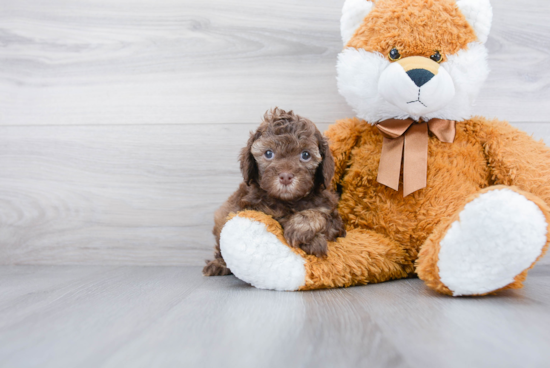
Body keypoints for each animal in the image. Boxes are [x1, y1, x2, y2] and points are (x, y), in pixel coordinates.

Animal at [205, 108, 348, 274]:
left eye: (305, 155)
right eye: (268, 153)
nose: (285, 176)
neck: (289, 201)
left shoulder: (333, 216)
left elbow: (321, 215)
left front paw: (301, 229)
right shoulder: (254, 207)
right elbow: (279, 219)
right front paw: (312, 241)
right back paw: (217, 265)